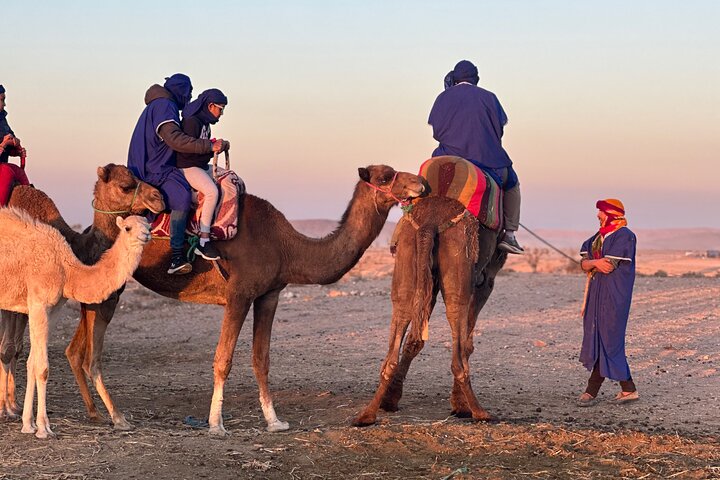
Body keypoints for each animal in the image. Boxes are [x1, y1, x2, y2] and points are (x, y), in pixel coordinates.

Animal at [0, 167, 165, 426]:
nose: (158, 198)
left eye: (147, 227)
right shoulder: (28, 305)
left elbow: (30, 358)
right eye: (125, 186)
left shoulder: (53, 306)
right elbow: (12, 350)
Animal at [65, 164, 424, 434]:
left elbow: (261, 359)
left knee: (76, 349)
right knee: (90, 352)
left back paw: (95, 413)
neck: (287, 246)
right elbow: (223, 358)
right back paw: (116, 417)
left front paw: (275, 421)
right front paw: (216, 424)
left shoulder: (269, 294)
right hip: (109, 289)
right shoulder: (239, 293)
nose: (420, 184)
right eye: (385, 176)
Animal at [353, 196, 507, 426]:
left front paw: (391, 400)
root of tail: (429, 223)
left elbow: (414, 340)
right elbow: (468, 342)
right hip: (458, 263)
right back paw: (480, 412)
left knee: (400, 320)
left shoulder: (430, 281)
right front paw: (460, 405)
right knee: (458, 338)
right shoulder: (486, 279)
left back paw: (367, 414)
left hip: (408, 259)